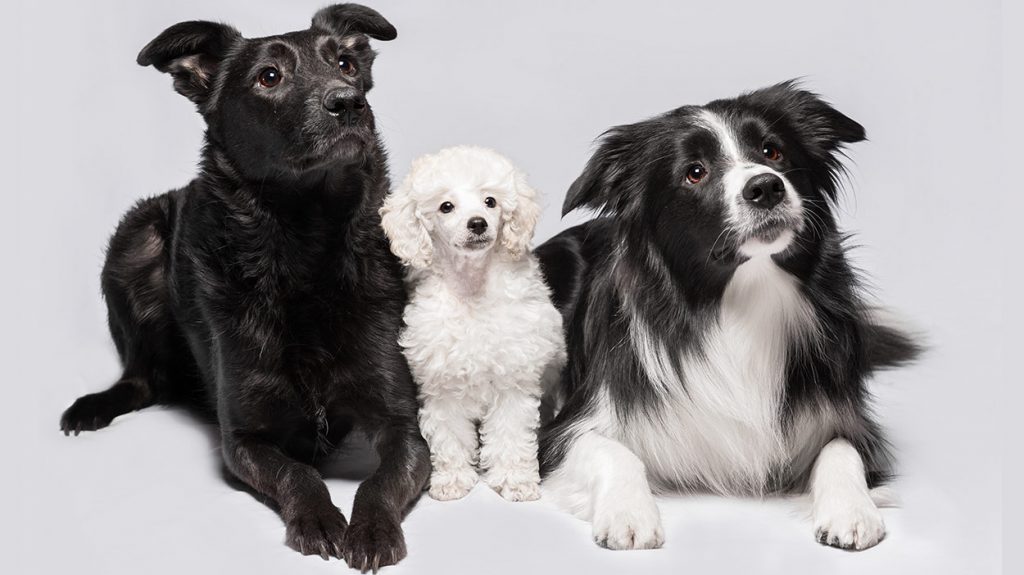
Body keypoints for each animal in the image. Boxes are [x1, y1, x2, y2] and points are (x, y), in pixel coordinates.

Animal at [58, 4, 430, 568]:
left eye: (345, 64)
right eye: (268, 77)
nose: (348, 101)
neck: (306, 245)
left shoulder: (404, 427)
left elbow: (380, 481)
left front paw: (369, 529)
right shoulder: (243, 440)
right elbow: (299, 474)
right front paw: (319, 519)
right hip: (135, 239)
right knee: (141, 378)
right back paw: (94, 406)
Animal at [380, 145, 565, 499]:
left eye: (490, 201)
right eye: (446, 206)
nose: (477, 223)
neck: (471, 287)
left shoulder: (513, 383)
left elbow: (511, 435)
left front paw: (514, 479)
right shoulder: (441, 387)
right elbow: (449, 436)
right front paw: (452, 479)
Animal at [536, 81, 921, 552]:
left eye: (772, 151)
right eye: (695, 172)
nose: (766, 187)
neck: (739, 300)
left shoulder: (847, 419)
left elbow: (840, 450)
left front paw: (851, 510)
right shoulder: (568, 431)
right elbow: (614, 453)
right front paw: (629, 514)